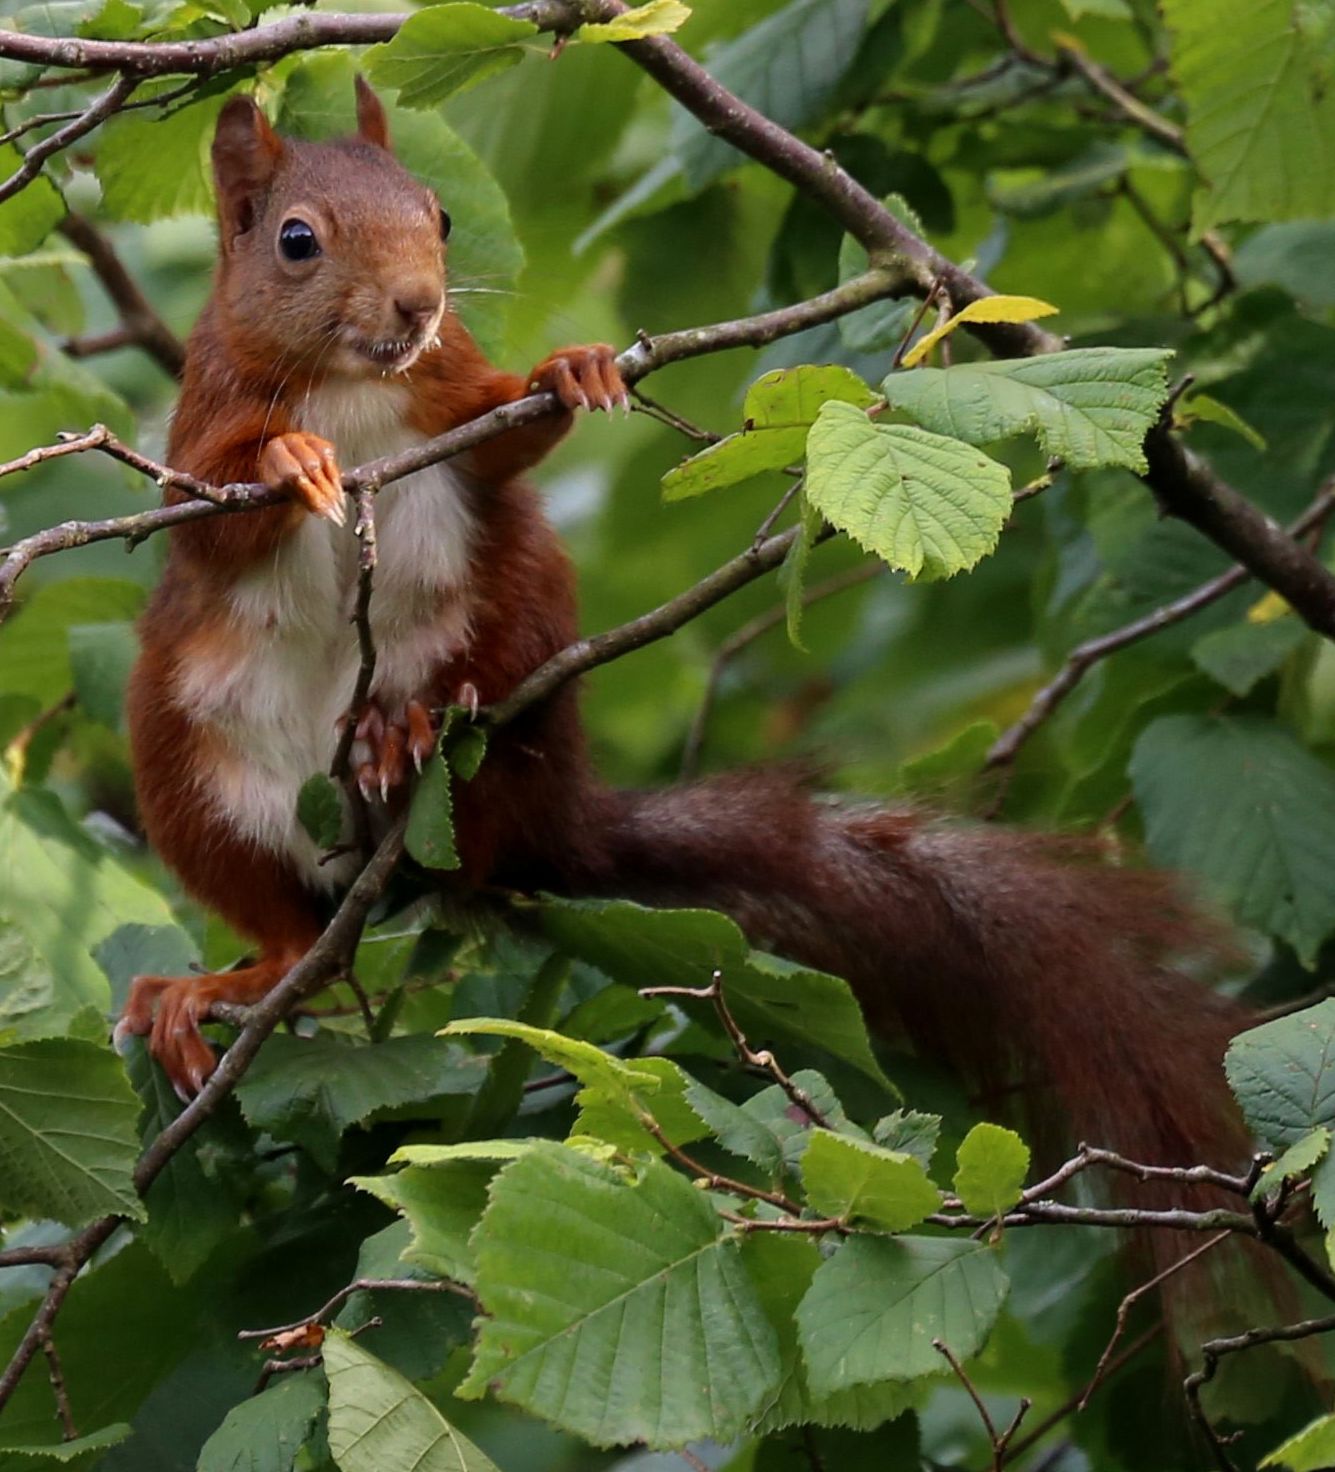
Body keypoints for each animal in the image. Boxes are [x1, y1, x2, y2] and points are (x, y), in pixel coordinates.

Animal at [117, 82, 1252, 1193]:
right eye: (296, 241)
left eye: (437, 217)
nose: (419, 305)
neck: (356, 384)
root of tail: (545, 830)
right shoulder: (203, 423)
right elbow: (214, 511)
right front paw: (293, 458)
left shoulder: (452, 400)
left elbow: (502, 440)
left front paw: (571, 370)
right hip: (184, 766)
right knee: (287, 933)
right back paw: (216, 984)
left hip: (521, 594)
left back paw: (416, 723)